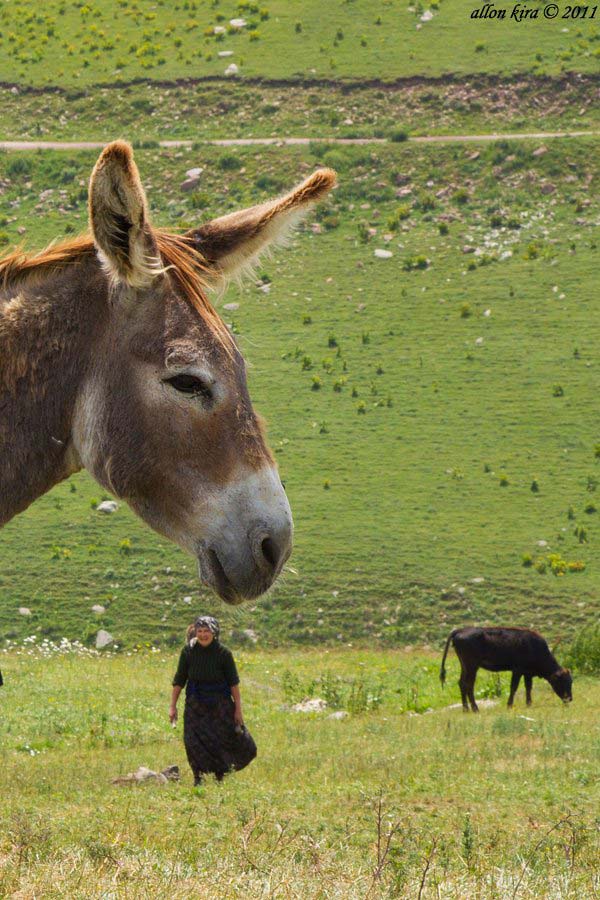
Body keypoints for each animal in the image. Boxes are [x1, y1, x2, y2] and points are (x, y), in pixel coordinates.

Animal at [440, 626, 573, 712]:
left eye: (570, 682)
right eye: (563, 682)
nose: (570, 699)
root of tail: (460, 630)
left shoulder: (527, 673)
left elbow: (528, 687)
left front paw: (529, 704)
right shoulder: (517, 670)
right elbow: (513, 687)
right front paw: (509, 705)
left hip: (465, 666)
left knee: (462, 683)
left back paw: (466, 709)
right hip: (472, 666)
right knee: (469, 685)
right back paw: (475, 709)